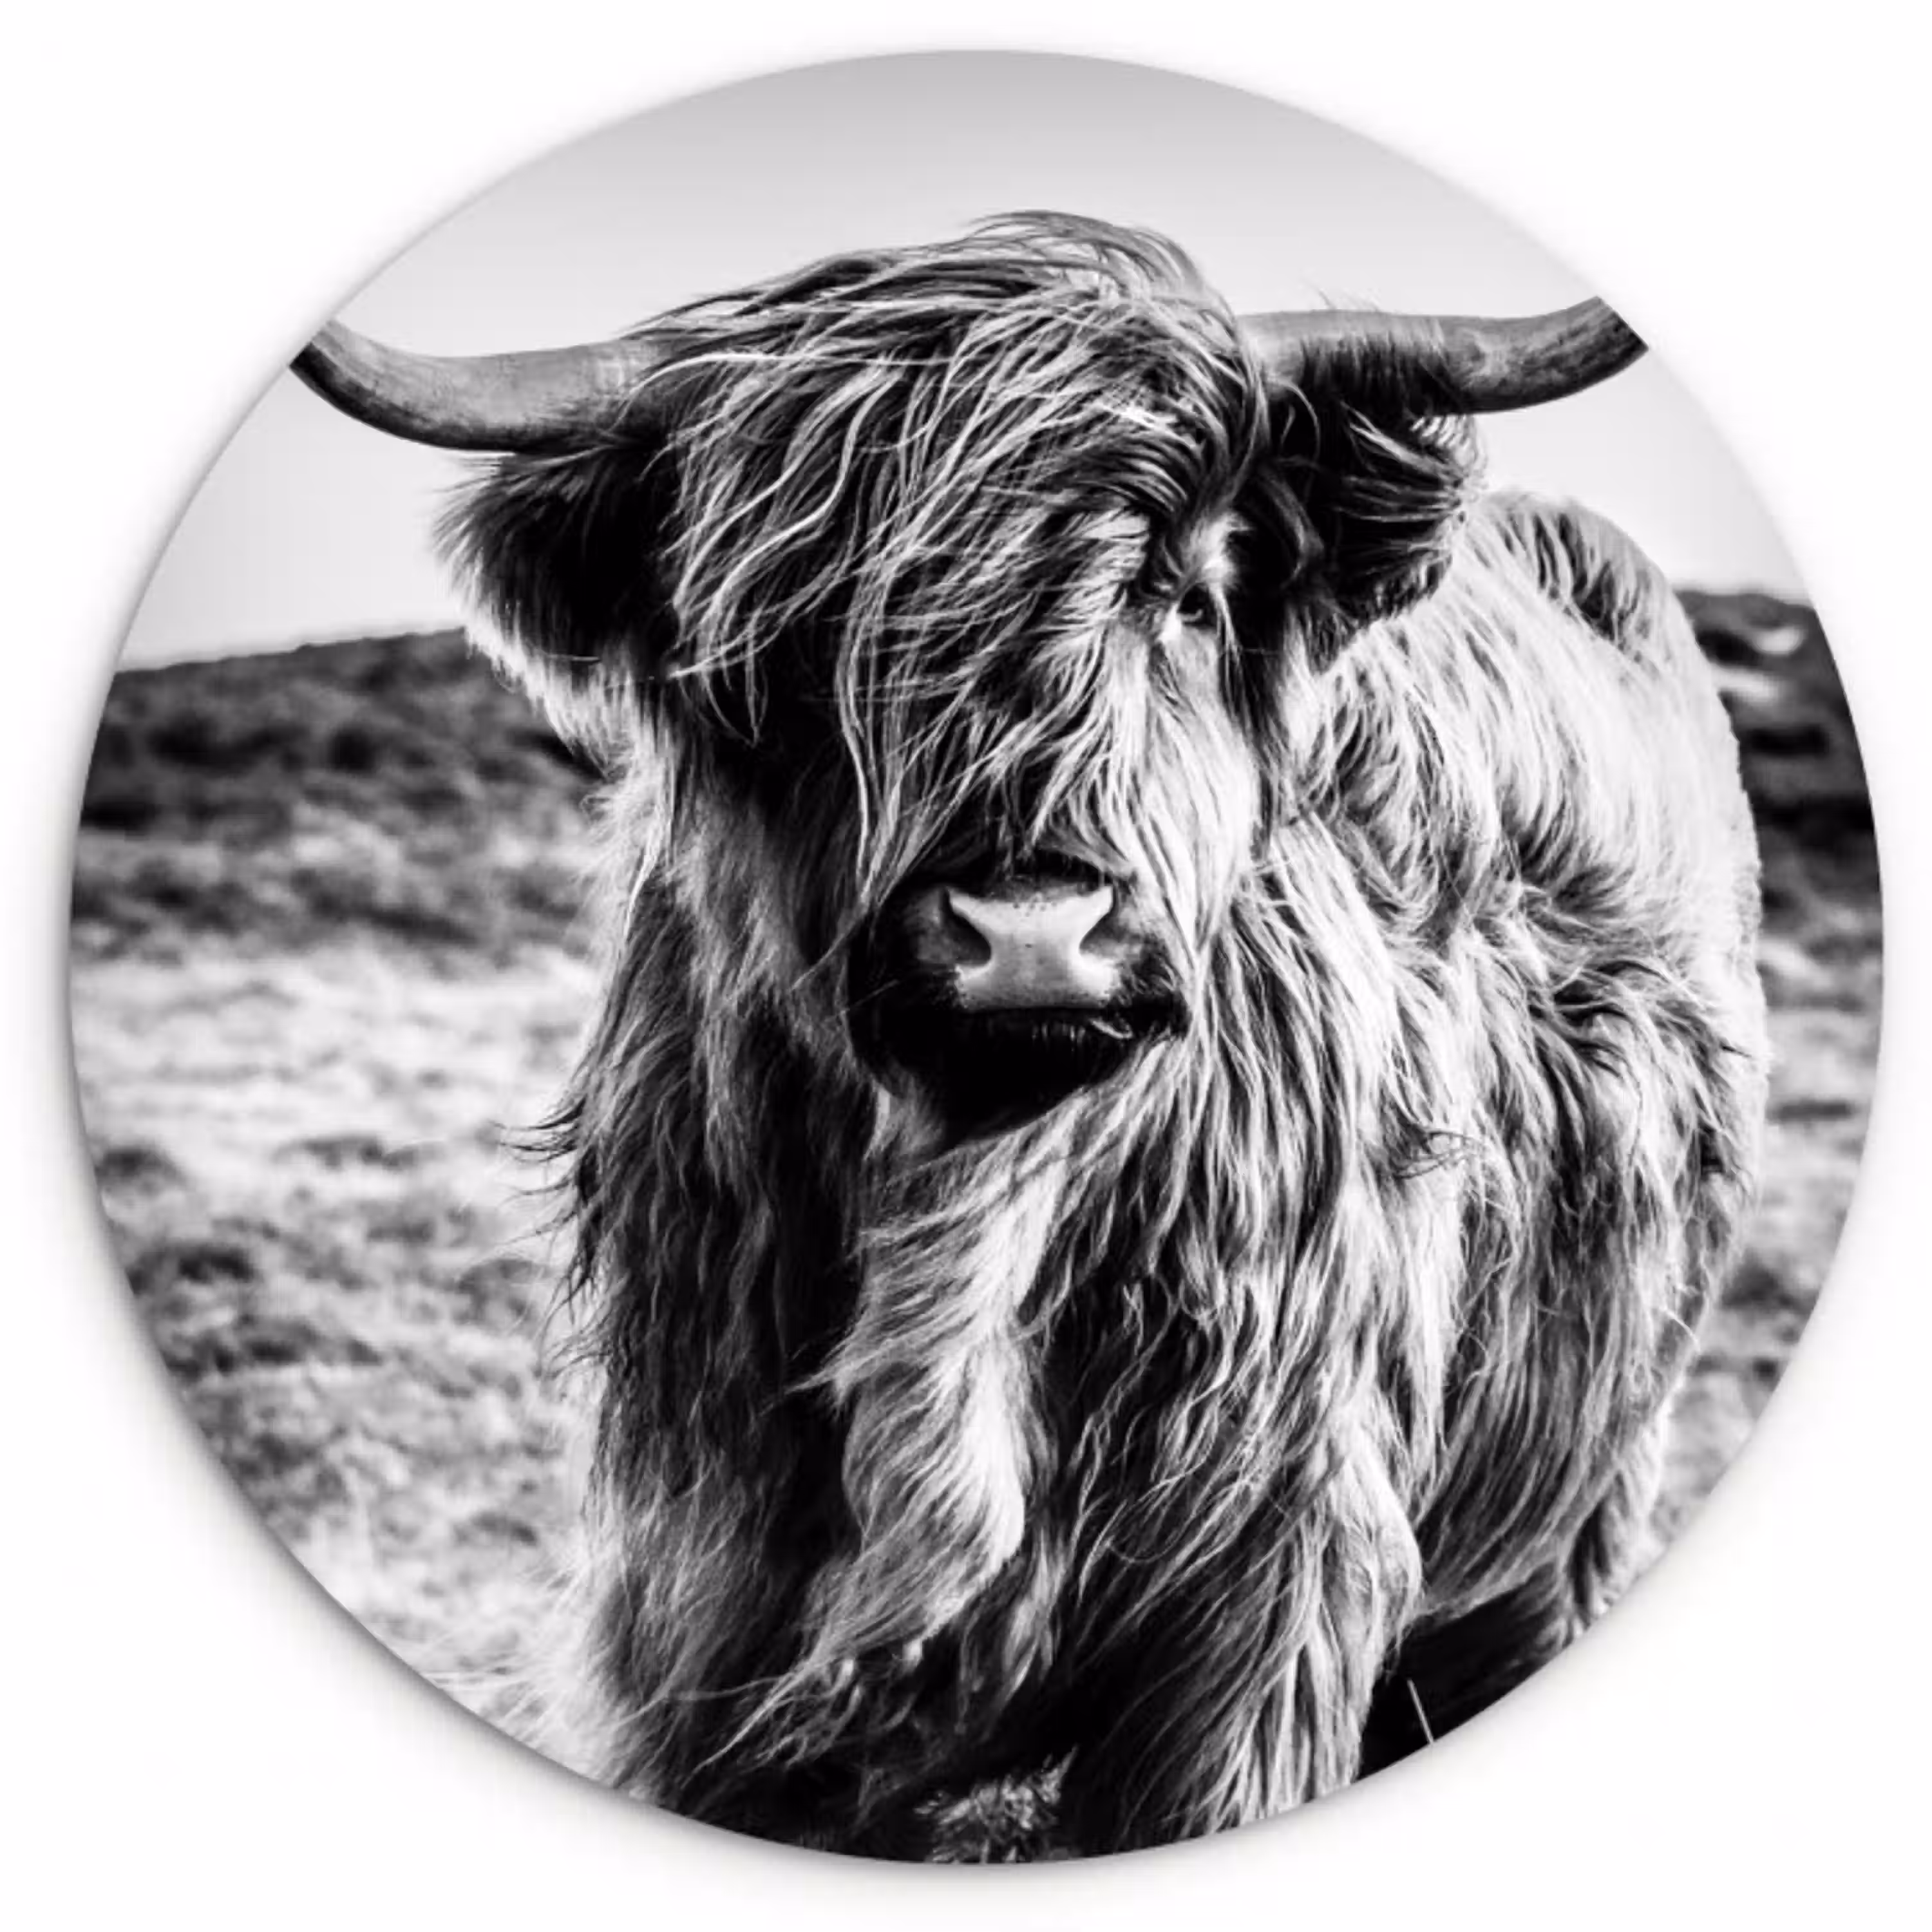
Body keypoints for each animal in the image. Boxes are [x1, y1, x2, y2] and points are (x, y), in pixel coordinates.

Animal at [294, 215, 1768, 1857]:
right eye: (802, 637)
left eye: (1187, 597)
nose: (1030, 929)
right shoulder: (705, 1604)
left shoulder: (1264, 1602)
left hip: (1580, 1502)